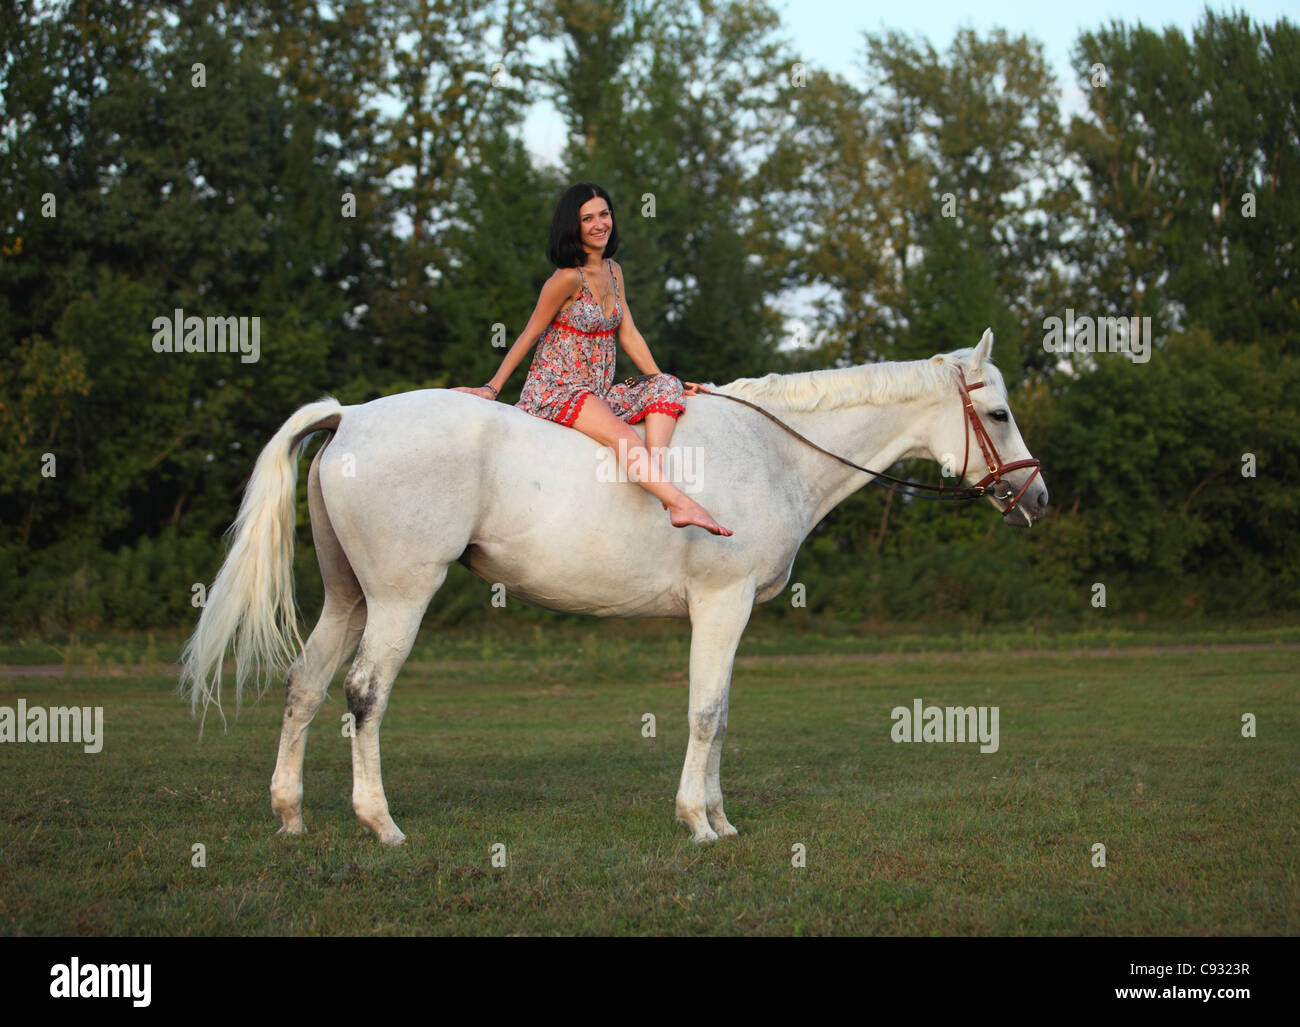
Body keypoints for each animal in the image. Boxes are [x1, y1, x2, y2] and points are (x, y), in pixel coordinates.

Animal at [178, 327, 1045, 842]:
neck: (770, 450)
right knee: (364, 693)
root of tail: (351, 416)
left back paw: (290, 815)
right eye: (1000, 414)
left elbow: (720, 715)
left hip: (348, 596)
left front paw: (722, 819)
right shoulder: (720, 605)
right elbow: (703, 713)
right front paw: (697, 822)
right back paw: (381, 823)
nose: (1035, 497)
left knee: (305, 684)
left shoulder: (730, 616)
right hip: (398, 596)